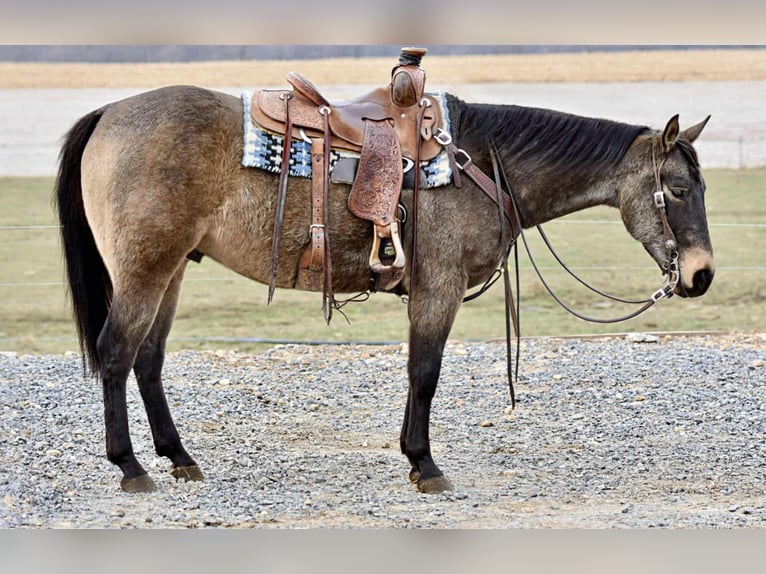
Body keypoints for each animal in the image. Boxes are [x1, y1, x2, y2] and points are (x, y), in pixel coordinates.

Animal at [57, 59, 716, 496]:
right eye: (680, 189)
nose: (702, 274)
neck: (479, 162)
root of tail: (109, 113)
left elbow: (416, 373)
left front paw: (411, 455)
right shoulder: (439, 289)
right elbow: (424, 373)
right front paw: (424, 464)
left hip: (169, 269)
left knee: (148, 360)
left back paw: (178, 457)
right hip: (145, 269)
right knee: (116, 352)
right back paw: (131, 467)